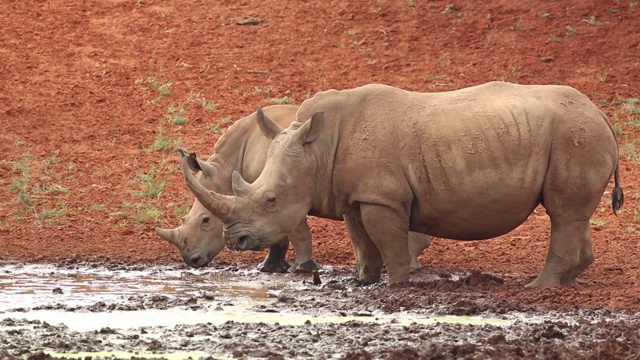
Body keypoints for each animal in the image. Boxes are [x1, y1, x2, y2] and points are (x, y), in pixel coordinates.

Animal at [158, 105, 432, 272]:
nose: (191, 260)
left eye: (205, 221)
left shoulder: (283, 194)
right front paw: (270, 268)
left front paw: (302, 268)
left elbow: (295, 232)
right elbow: (278, 234)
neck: (227, 167)